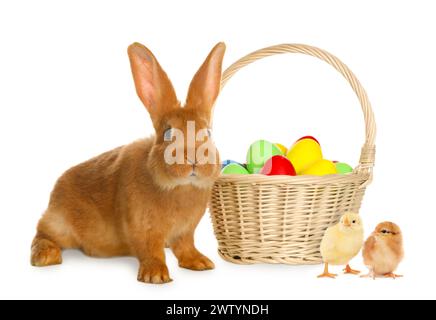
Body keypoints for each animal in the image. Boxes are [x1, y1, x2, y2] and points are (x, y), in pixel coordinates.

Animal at [31, 41, 225, 284]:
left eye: (208, 133)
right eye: (168, 133)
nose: (193, 159)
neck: (180, 187)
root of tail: (53, 197)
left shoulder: (185, 231)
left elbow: (185, 247)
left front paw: (200, 263)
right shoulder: (143, 228)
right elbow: (151, 250)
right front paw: (156, 276)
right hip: (59, 224)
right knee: (42, 232)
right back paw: (45, 257)